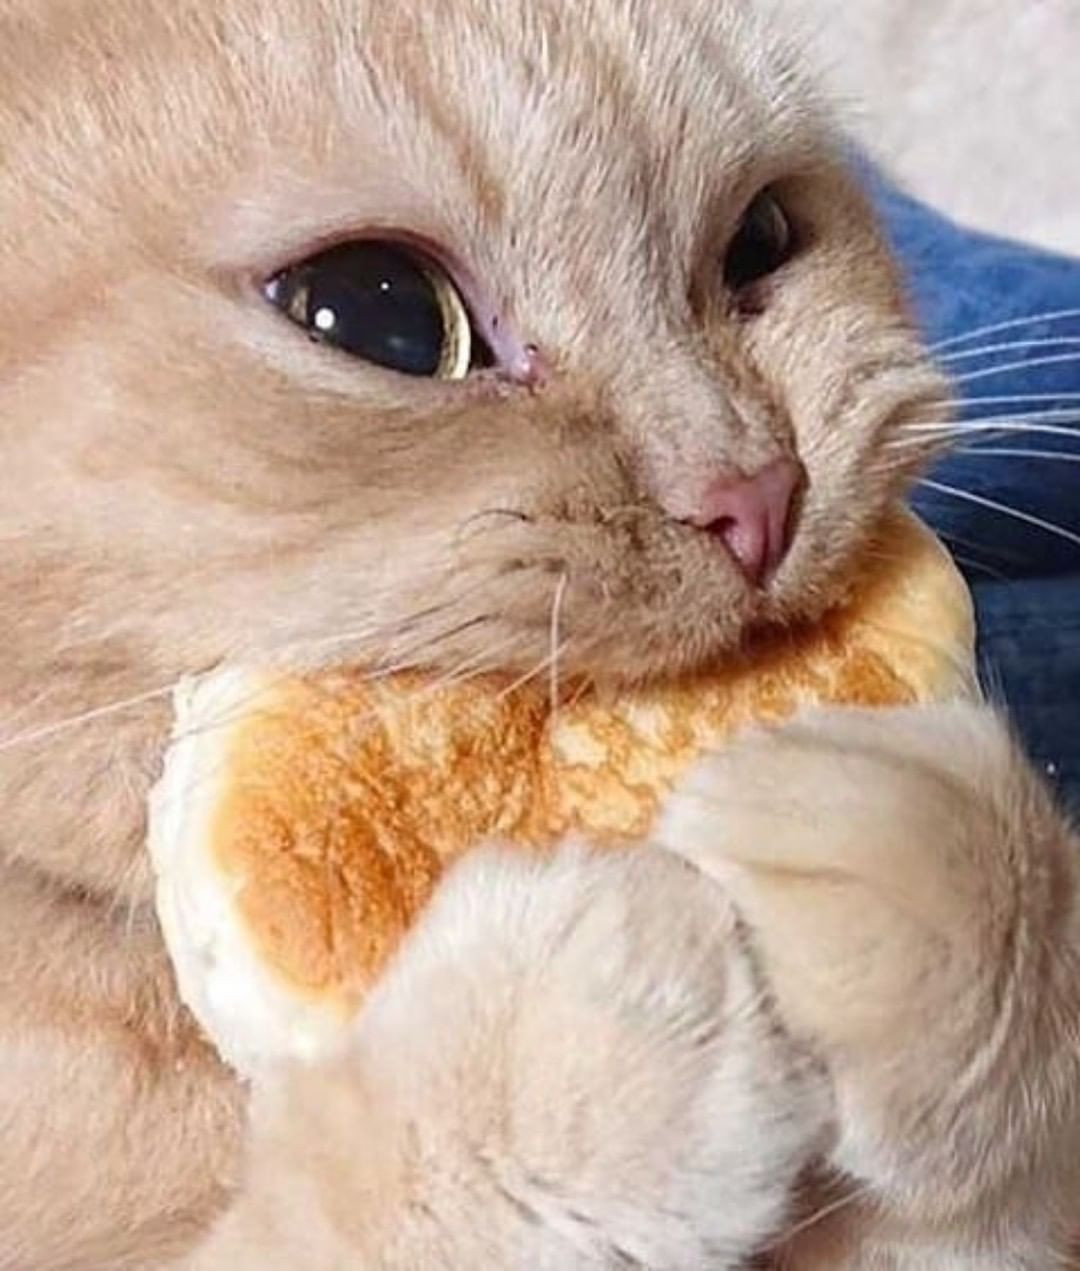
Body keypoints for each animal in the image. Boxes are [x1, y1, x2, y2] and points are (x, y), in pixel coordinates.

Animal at [0, 0, 1077, 1265]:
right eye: (382, 311)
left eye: (761, 239)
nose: (758, 493)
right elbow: (330, 1207)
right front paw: (572, 1025)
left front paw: (949, 867)